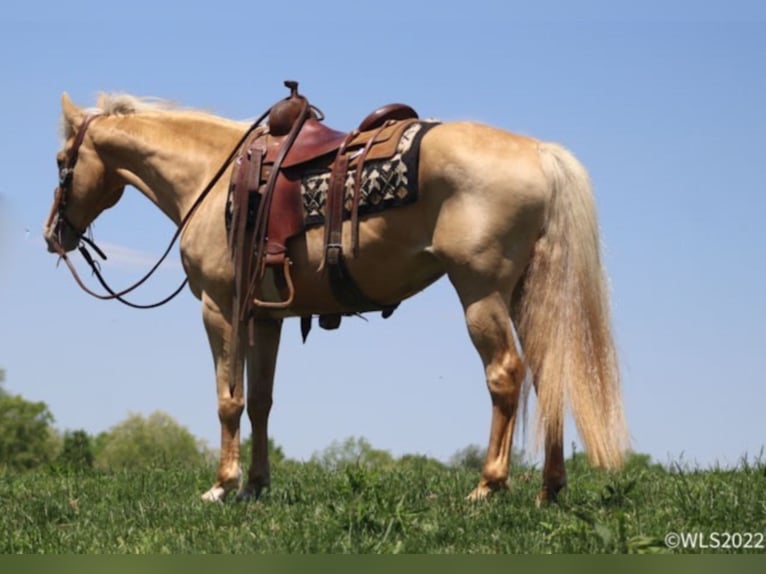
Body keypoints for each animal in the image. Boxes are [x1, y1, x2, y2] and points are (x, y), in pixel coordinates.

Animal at [43, 90, 632, 504]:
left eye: (60, 160)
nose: (53, 234)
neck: (211, 179)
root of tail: (540, 154)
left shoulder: (219, 307)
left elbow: (228, 399)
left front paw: (222, 484)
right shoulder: (266, 317)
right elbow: (261, 400)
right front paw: (256, 485)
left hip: (480, 292)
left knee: (506, 373)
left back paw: (489, 485)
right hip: (527, 293)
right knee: (549, 373)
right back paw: (549, 488)